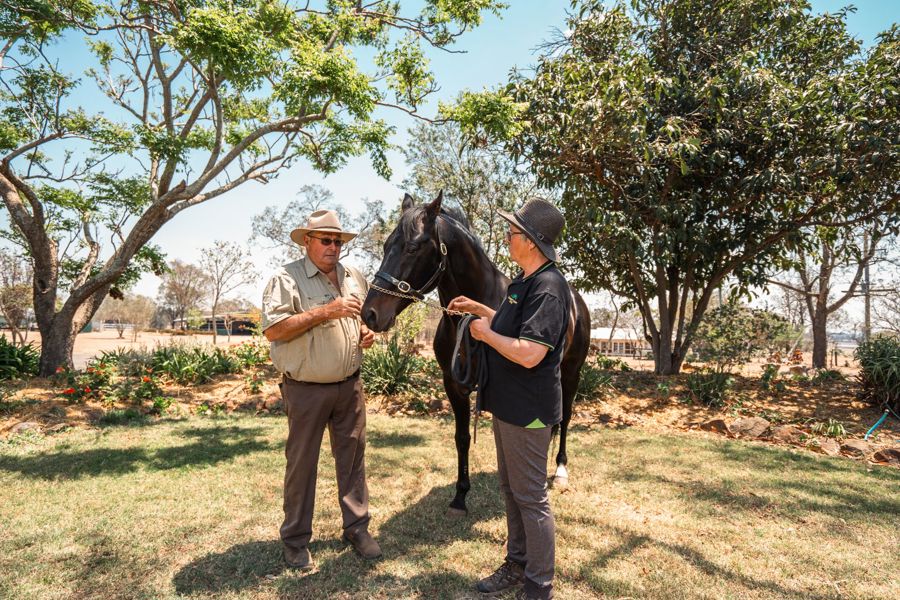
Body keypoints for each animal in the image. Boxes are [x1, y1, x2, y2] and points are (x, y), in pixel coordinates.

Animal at [362, 191, 591, 515]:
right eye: (385, 246)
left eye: (412, 246)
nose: (369, 314)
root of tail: (574, 299)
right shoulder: (454, 384)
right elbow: (463, 438)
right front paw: (460, 495)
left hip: (572, 373)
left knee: (565, 418)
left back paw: (559, 471)